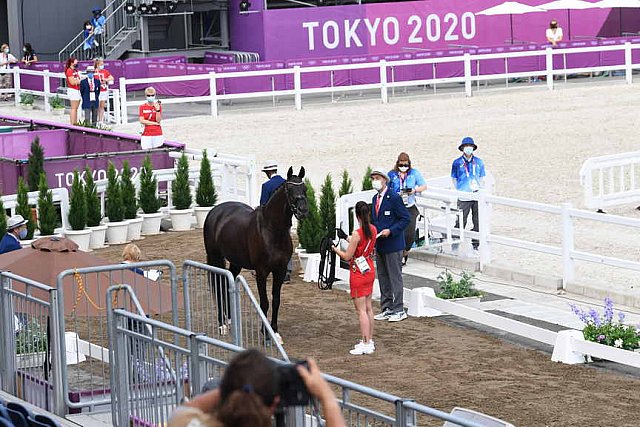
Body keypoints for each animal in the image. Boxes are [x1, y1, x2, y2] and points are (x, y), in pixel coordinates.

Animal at [202, 166, 308, 342]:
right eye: (289, 189)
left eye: (304, 188)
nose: (303, 211)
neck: (272, 230)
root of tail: (215, 210)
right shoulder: (261, 272)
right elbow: (264, 302)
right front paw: (266, 334)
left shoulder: (280, 271)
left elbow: (276, 300)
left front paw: (275, 332)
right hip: (215, 257)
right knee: (218, 285)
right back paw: (222, 325)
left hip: (236, 262)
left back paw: (229, 320)